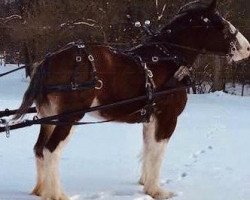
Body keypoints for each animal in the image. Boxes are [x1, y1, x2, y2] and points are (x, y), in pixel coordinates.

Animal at [13, 0, 250, 200]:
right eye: (223, 26)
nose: (247, 48)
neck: (167, 60)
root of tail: (49, 60)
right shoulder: (167, 118)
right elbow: (157, 153)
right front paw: (157, 190)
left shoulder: (150, 119)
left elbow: (147, 149)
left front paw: (145, 183)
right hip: (69, 118)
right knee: (50, 150)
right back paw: (57, 194)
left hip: (49, 118)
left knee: (39, 149)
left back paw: (41, 190)